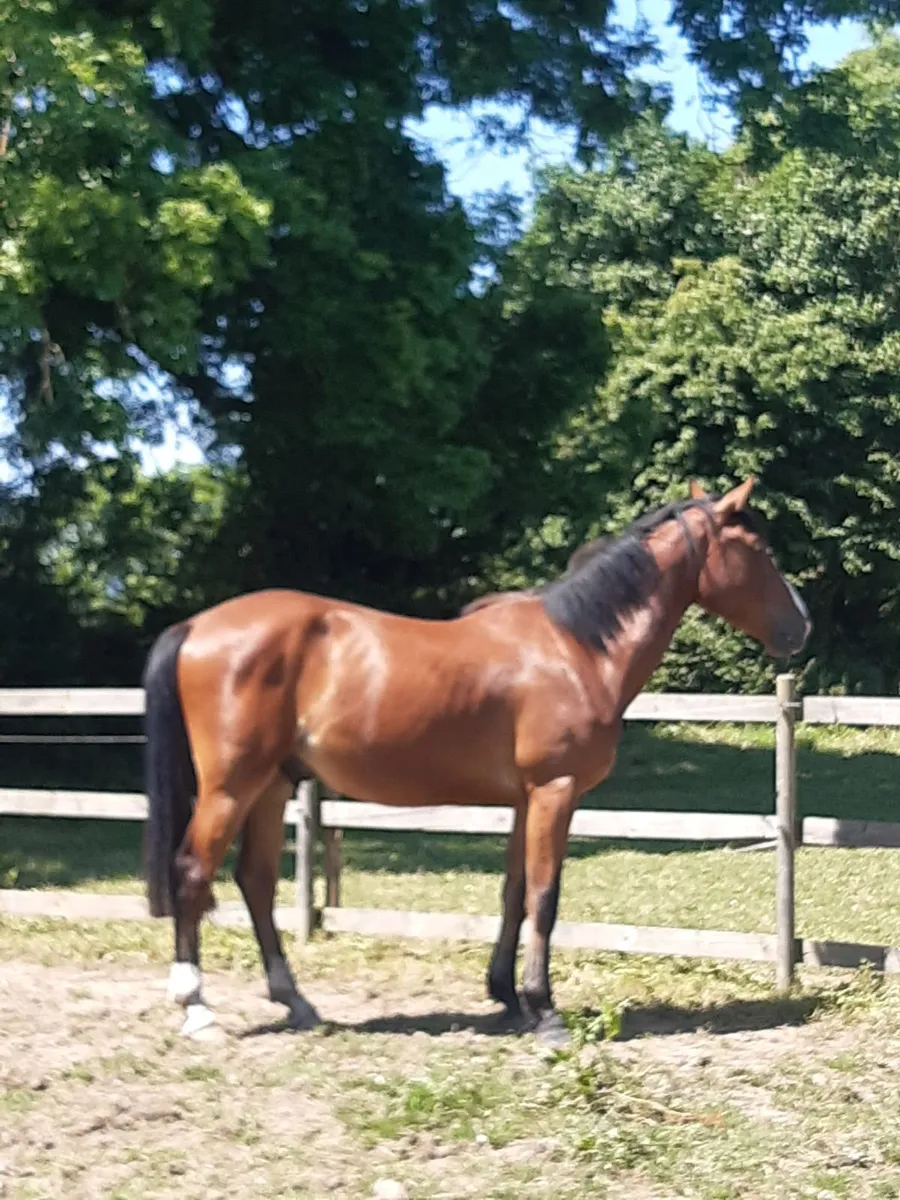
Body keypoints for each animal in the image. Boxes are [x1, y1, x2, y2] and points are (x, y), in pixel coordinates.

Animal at [142, 477, 811, 1045]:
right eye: (758, 548)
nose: (801, 628)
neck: (577, 648)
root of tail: (196, 625)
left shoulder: (523, 800)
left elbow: (513, 893)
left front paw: (508, 998)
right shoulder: (554, 791)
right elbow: (545, 895)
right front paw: (545, 1010)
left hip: (272, 786)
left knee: (254, 881)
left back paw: (297, 1002)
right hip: (231, 787)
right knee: (193, 873)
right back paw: (197, 1008)